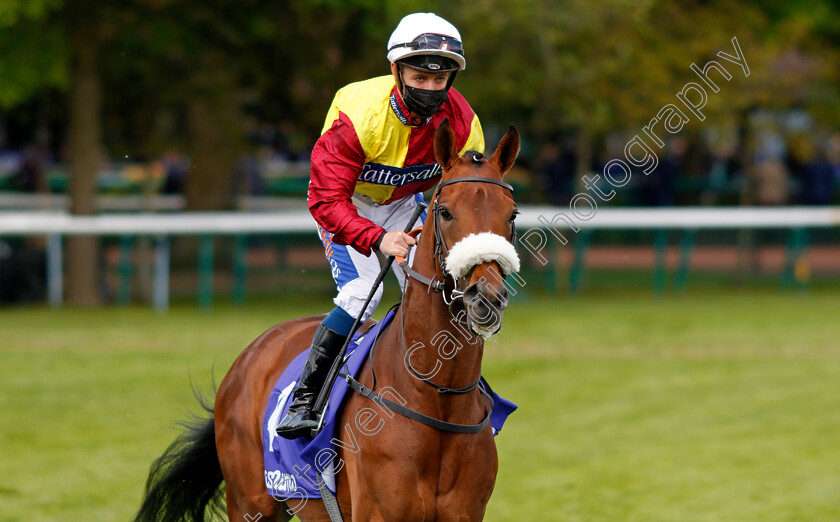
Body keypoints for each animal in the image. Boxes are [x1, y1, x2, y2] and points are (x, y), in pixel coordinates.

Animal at [135, 119, 520, 520]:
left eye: (512, 214)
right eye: (444, 211)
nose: (486, 297)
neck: (435, 397)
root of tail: (250, 354)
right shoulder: (378, 512)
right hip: (249, 502)